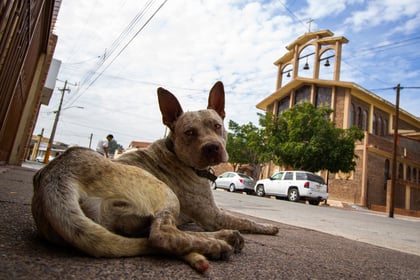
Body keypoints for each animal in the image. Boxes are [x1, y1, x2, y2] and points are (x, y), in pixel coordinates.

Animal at [30, 81, 278, 274]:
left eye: (217, 126)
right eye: (189, 132)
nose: (212, 147)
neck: (176, 154)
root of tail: (56, 175)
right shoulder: (213, 215)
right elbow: (246, 220)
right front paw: (268, 227)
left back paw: (221, 239)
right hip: (164, 193)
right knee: (161, 236)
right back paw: (219, 244)